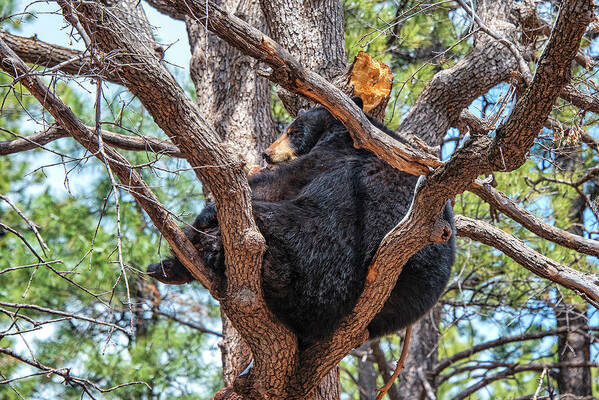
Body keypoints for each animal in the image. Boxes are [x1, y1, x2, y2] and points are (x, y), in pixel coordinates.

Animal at [149, 99, 454, 344]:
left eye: (293, 132)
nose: (266, 153)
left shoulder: (335, 155)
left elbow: (279, 181)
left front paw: (204, 217)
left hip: (308, 240)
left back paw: (202, 251)